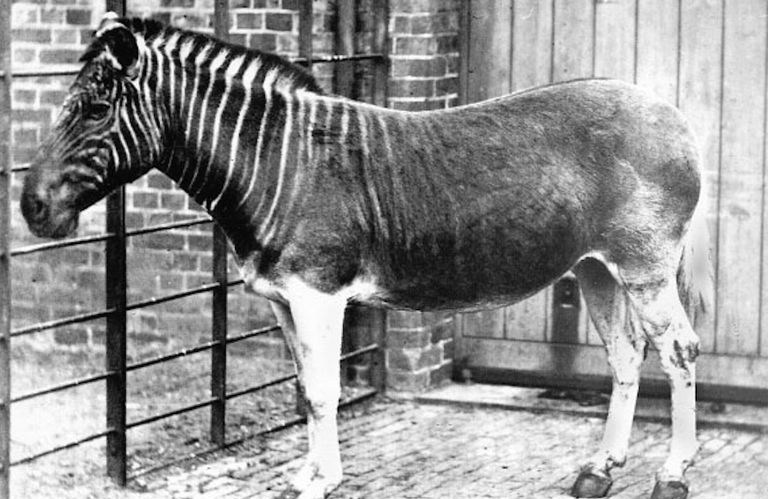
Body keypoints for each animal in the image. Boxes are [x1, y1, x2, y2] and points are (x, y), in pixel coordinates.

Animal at [20, 14, 712, 499]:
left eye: (95, 109)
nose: (31, 209)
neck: (274, 165)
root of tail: (674, 114)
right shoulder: (283, 300)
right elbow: (304, 389)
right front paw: (308, 474)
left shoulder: (319, 295)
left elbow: (325, 392)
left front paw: (323, 481)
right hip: (597, 267)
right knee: (626, 356)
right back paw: (600, 469)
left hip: (645, 266)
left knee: (678, 351)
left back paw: (672, 475)